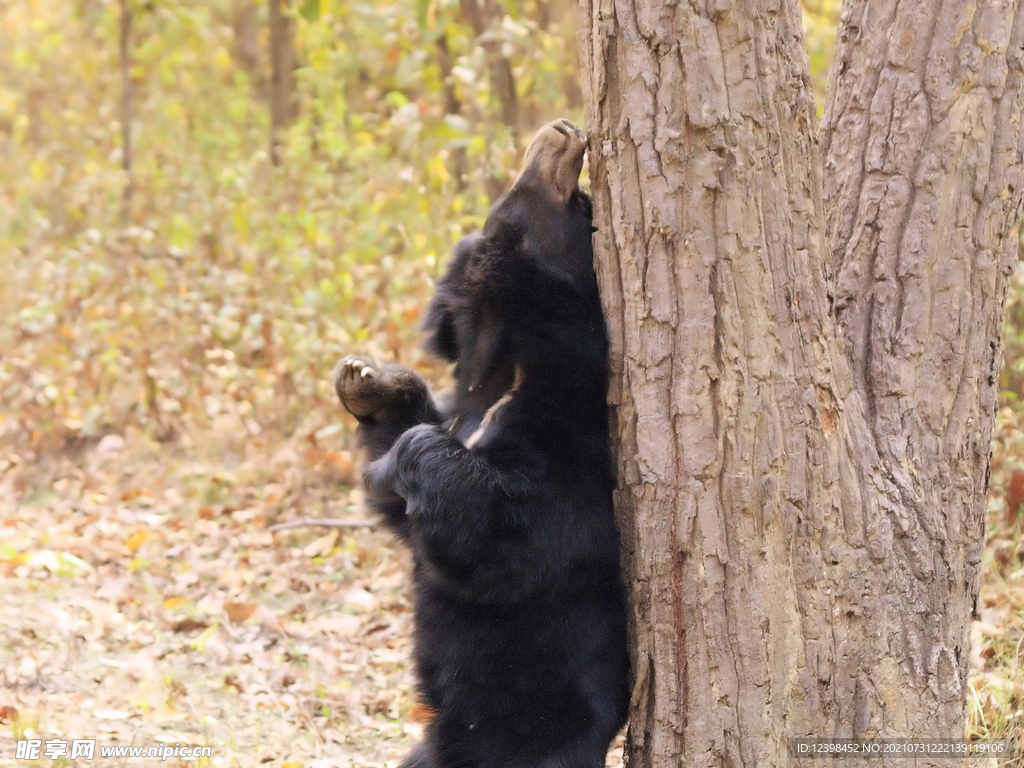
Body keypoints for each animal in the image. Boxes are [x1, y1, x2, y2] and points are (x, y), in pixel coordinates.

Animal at [335, 120, 626, 768]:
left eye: (583, 206)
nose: (564, 130)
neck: (499, 361)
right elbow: (404, 511)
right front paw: (367, 381)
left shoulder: (569, 441)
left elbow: (506, 527)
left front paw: (409, 453)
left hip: (535, 732)